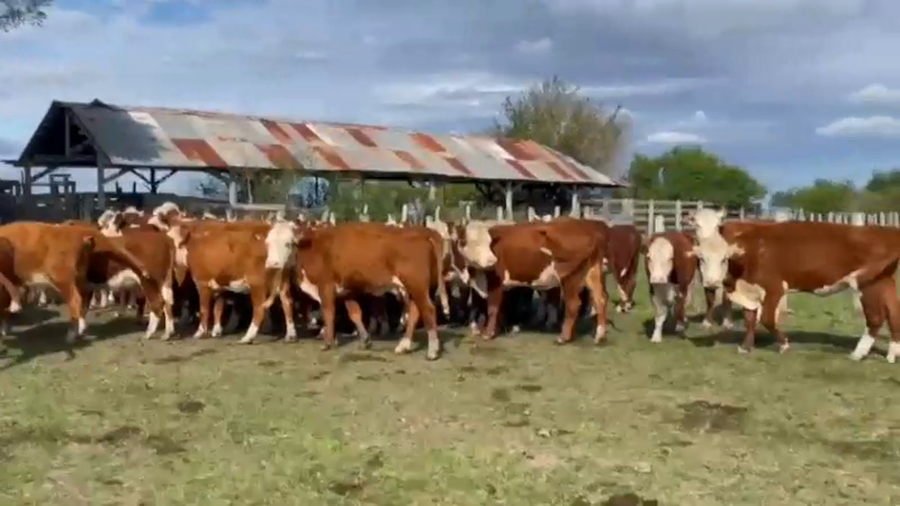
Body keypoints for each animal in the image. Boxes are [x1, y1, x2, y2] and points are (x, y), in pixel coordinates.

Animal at [291, 222, 448, 360]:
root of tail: (423, 231)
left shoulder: (325, 286)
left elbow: (328, 313)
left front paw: (328, 342)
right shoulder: (347, 291)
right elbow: (355, 314)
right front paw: (365, 340)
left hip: (416, 285)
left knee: (428, 310)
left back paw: (432, 351)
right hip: (414, 288)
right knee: (415, 311)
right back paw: (404, 345)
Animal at [453, 218, 610, 345]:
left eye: (489, 242)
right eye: (473, 242)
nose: (492, 261)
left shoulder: (495, 282)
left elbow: (492, 308)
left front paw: (488, 333)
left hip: (570, 276)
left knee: (573, 304)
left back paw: (563, 337)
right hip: (592, 272)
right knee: (600, 299)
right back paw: (600, 335)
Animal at [696, 221, 900, 362]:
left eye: (724, 259)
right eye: (701, 258)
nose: (711, 284)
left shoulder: (774, 288)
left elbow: (766, 319)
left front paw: (784, 345)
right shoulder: (749, 291)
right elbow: (749, 319)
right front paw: (746, 347)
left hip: (868, 284)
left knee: (875, 319)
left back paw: (857, 354)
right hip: (884, 281)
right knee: (893, 313)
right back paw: (892, 353)